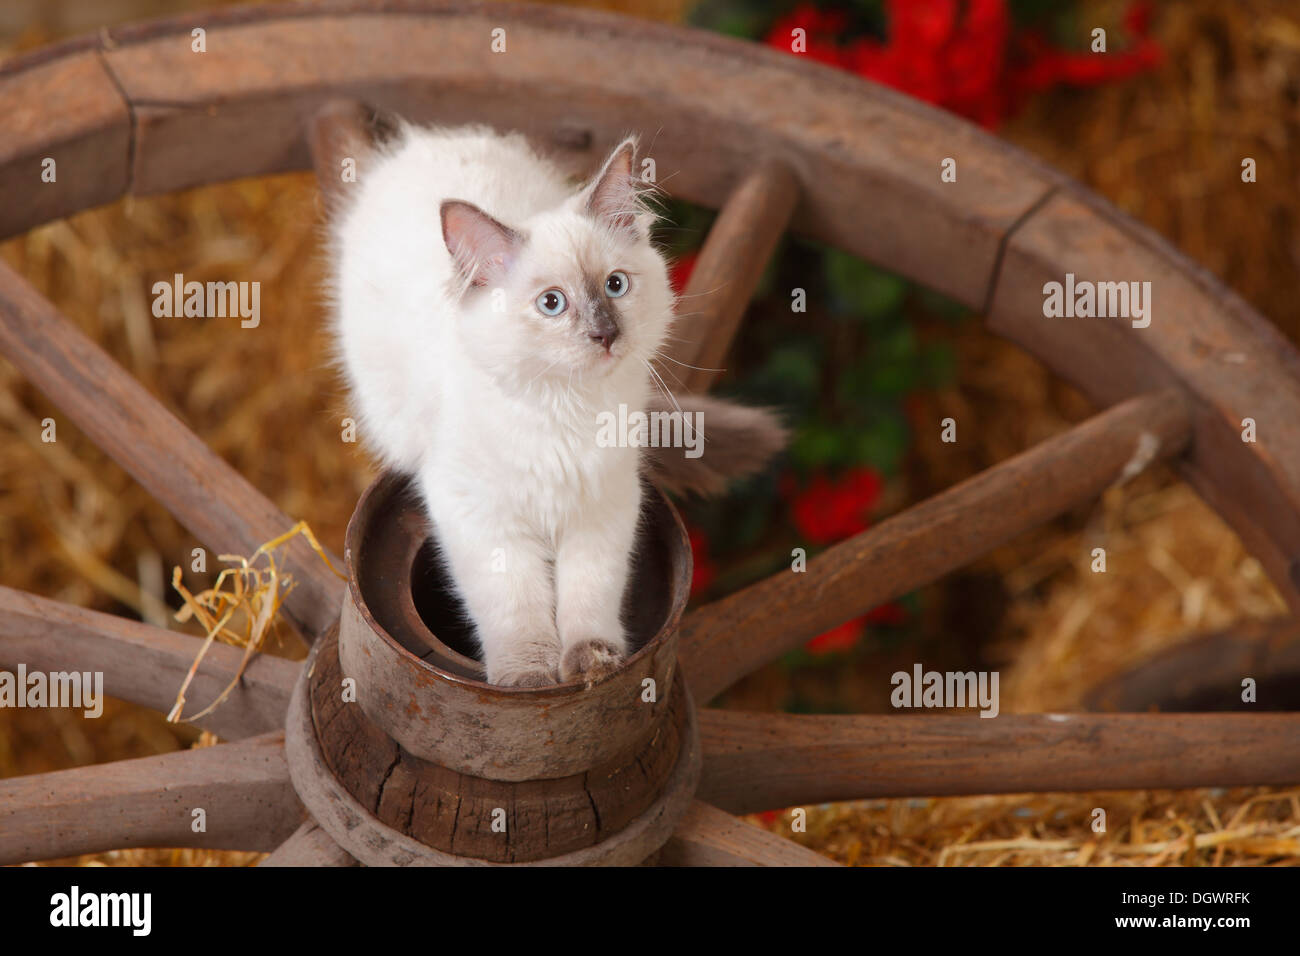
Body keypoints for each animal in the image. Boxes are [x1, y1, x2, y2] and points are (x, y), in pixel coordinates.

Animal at [335, 123, 780, 686]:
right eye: (552, 303)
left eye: (616, 285)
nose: (605, 334)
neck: (566, 409)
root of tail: (429, 139)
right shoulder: (482, 518)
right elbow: (517, 609)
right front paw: (528, 683)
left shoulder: (605, 506)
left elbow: (590, 595)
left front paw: (592, 666)